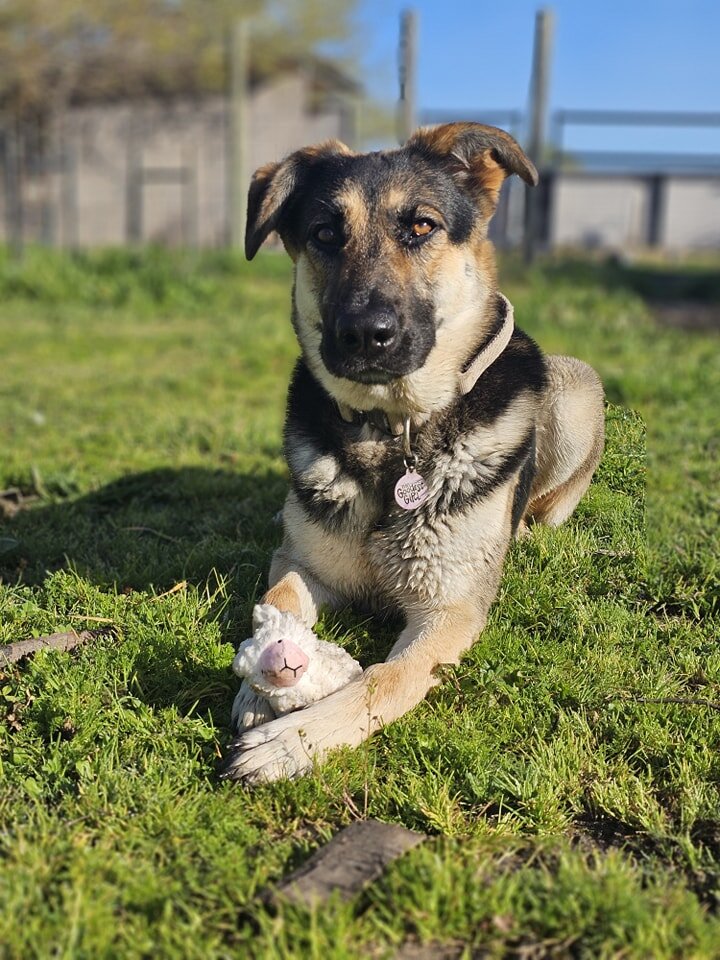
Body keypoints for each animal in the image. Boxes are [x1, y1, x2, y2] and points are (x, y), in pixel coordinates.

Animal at [222, 122, 604, 780]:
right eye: (325, 234)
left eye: (422, 227)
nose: (363, 335)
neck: (392, 429)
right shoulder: (302, 563)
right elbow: (278, 600)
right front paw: (257, 687)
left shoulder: (447, 612)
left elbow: (385, 678)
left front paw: (293, 741)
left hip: (576, 393)